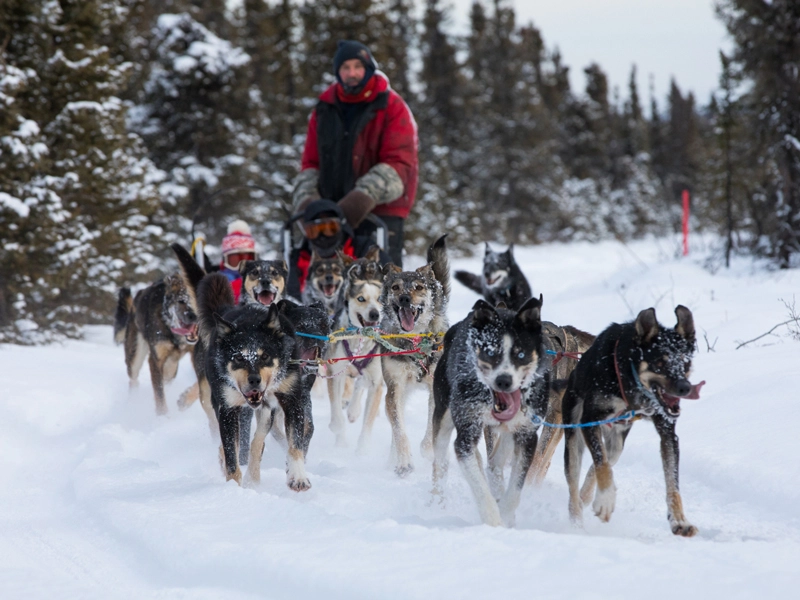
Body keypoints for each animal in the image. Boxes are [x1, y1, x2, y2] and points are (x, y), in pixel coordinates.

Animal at [326, 247, 386, 450]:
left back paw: (353, 410)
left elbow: (367, 424)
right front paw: (339, 438)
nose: (375, 314)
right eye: (361, 298)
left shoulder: (376, 383)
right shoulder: (335, 373)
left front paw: (362, 451)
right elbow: (336, 412)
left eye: (380, 299)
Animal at [378, 234, 446, 474]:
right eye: (396, 287)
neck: (415, 341)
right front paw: (404, 461)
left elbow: (431, 429)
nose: (405, 299)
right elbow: (399, 430)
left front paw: (428, 450)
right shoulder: (394, 388)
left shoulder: (437, 387)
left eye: (418, 287)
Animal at [432, 296, 552, 524]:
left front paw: (506, 514)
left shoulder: (527, 435)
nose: (504, 380)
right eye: (490, 352)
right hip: (443, 417)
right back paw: (437, 500)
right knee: (440, 461)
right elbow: (479, 486)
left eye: (520, 354)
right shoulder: (466, 436)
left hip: (509, 431)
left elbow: (515, 488)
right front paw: (493, 520)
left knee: (496, 461)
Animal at [564, 308, 708, 536]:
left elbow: (673, 485)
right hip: (574, 438)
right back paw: (578, 522)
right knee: (575, 486)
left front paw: (679, 520)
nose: (685, 387)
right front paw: (605, 500)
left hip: (617, 444)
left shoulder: (668, 434)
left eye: (685, 362)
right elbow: (602, 464)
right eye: (660, 363)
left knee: (603, 462)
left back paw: (587, 495)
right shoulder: (590, 420)